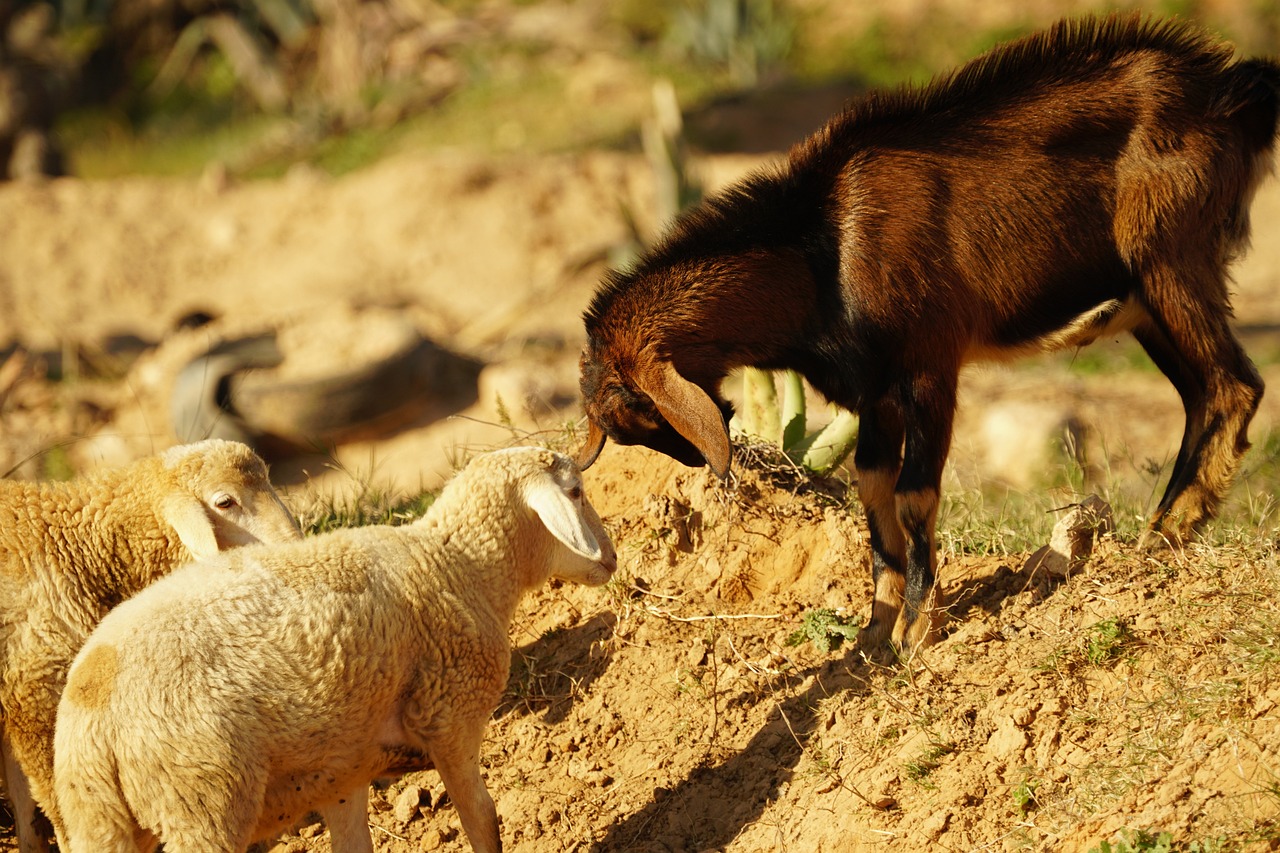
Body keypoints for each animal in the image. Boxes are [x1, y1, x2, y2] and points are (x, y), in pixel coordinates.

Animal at [53, 445, 619, 850]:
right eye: (575, 491)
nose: (611, 558)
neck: (460, 564)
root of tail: (92, 713)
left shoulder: (342, 771)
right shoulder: (449, 720)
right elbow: (484, 823)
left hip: (104, 821)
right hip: (201, 803)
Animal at [578, 14, 1280, 650]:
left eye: (641, 411)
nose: (700, 461)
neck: (821, 249)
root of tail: (1235, 90)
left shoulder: (929, 367)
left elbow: (914, 494)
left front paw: (917, 630)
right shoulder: (874, 394)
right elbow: (873, 494)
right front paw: (874, 633)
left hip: (1170, 263)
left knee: (1234, 385)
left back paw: (1164, 535)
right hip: (1148, 304)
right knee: (1204, 394)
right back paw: (1168, 527)